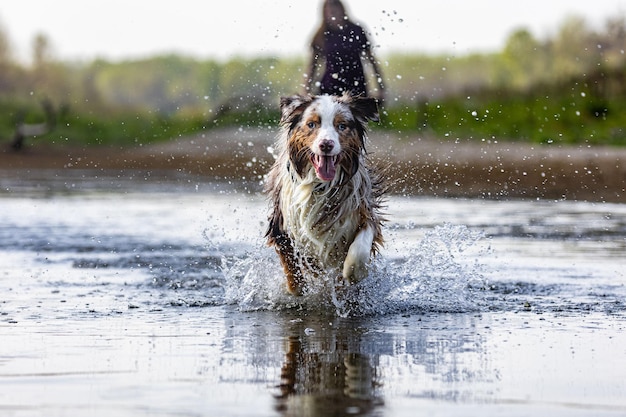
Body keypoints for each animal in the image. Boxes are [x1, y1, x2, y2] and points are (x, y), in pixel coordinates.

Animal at [262, 92, 380, 294]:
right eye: (311, 124)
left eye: (342, 126)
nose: (326, 144)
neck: (320, 186)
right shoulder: (281, 224)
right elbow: (292, 267)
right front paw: (298, 289)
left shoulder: (363, 209)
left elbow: (360, 247)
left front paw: (354, 273)